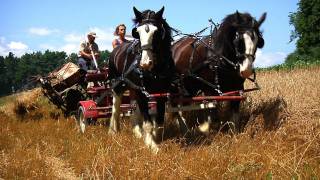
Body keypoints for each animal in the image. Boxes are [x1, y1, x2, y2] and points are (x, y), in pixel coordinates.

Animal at [109, 6, 176, 153]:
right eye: (137, 32)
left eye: (157, 32)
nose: (145, 63)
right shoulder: (142, 92)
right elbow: (148, 123)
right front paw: (152, 145)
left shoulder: (162, 93)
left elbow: (159, 121)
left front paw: (154, 137)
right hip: (117, 84)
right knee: (115, 106)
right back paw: (113, 130)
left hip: (132, 87)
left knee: (133, 107)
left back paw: (137, 132)